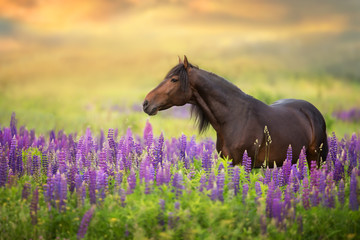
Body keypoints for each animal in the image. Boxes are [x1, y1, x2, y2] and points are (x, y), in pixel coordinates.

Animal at [142, 56, 328, 169]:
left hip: (315, 160)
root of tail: (313, 112)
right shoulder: (229, 162)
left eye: (174, 79)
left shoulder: (245, 164)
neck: (233, 118)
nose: (146, 103)